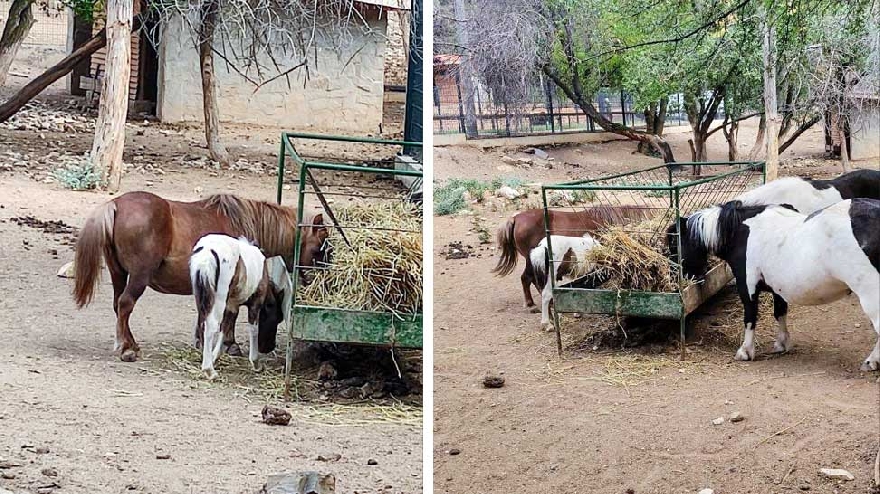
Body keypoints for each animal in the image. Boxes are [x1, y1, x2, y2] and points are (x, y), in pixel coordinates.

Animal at [73, 193, 330, 362]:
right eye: (320, 248)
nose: (322, 281)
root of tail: (115, 204)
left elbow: (203, 311)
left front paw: (200, 341)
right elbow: (229, 314)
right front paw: (229, 345)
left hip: (118, 273)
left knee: (118, 306)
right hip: (138, 276)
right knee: (126, 304)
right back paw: (128, 349)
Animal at [189, 234, 292, 378]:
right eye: (277, 318)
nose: (269, 348)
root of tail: (207, 253)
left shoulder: (231, 305)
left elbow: (225, 327)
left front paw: (215, 356)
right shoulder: (255, 303)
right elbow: (253, 329)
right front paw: (256, 363)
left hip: (202, 297)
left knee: (202, 323)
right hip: (218, 299)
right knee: (211, 326)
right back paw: (209, 370)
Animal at [672, 199, 876, 368]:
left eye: (674, 244)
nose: (676, 281)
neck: (739, 232)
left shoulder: (747, 287)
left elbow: (750, 318)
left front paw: (745, 352)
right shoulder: (778, 288)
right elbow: (780, 313)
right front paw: (782, 343)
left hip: (870, 293)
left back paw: (871, 362)